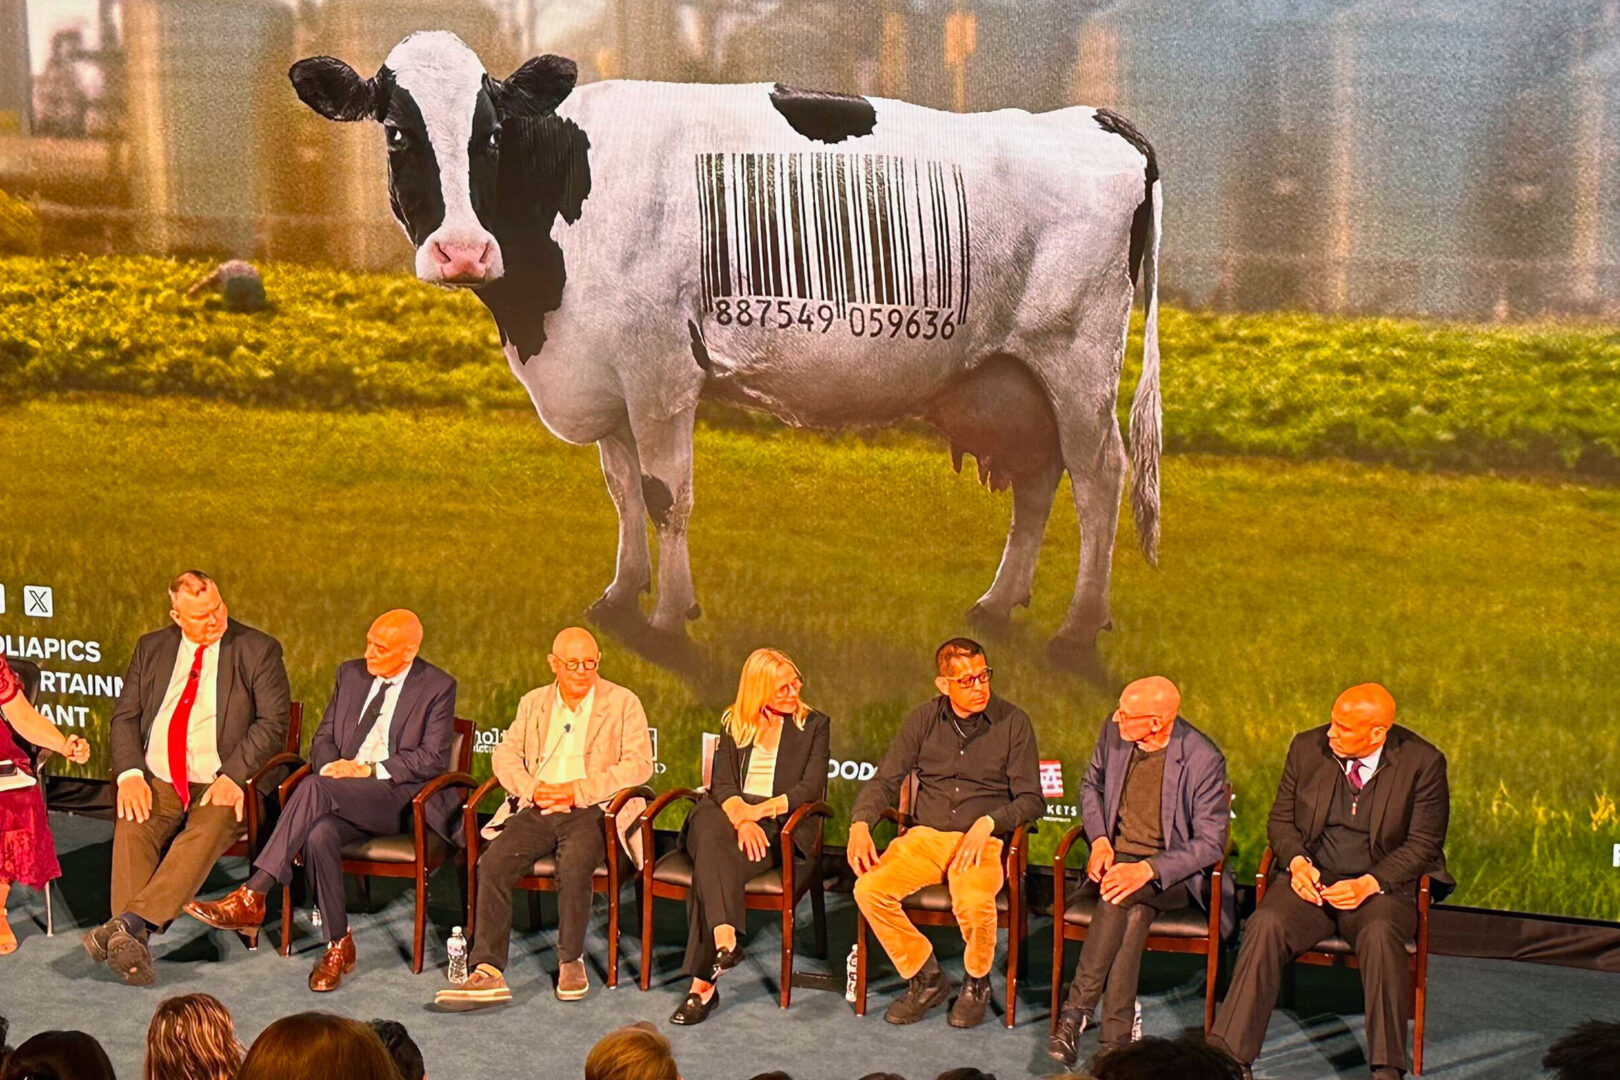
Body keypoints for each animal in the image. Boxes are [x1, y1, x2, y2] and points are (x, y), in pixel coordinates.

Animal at [291, 31, 1166, 660]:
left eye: (493, 136)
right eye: (396, 132)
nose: (464, 252)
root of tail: (1094, 120)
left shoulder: (659, 367)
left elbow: (663, 494)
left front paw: (668, 620)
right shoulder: (607, 371)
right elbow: (620, 490)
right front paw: (619, 599)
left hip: (1078, 361)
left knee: (1100, 478)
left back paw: (1076, 632)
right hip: (1014, 379)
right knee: (1039, 480)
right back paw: (997, 605)